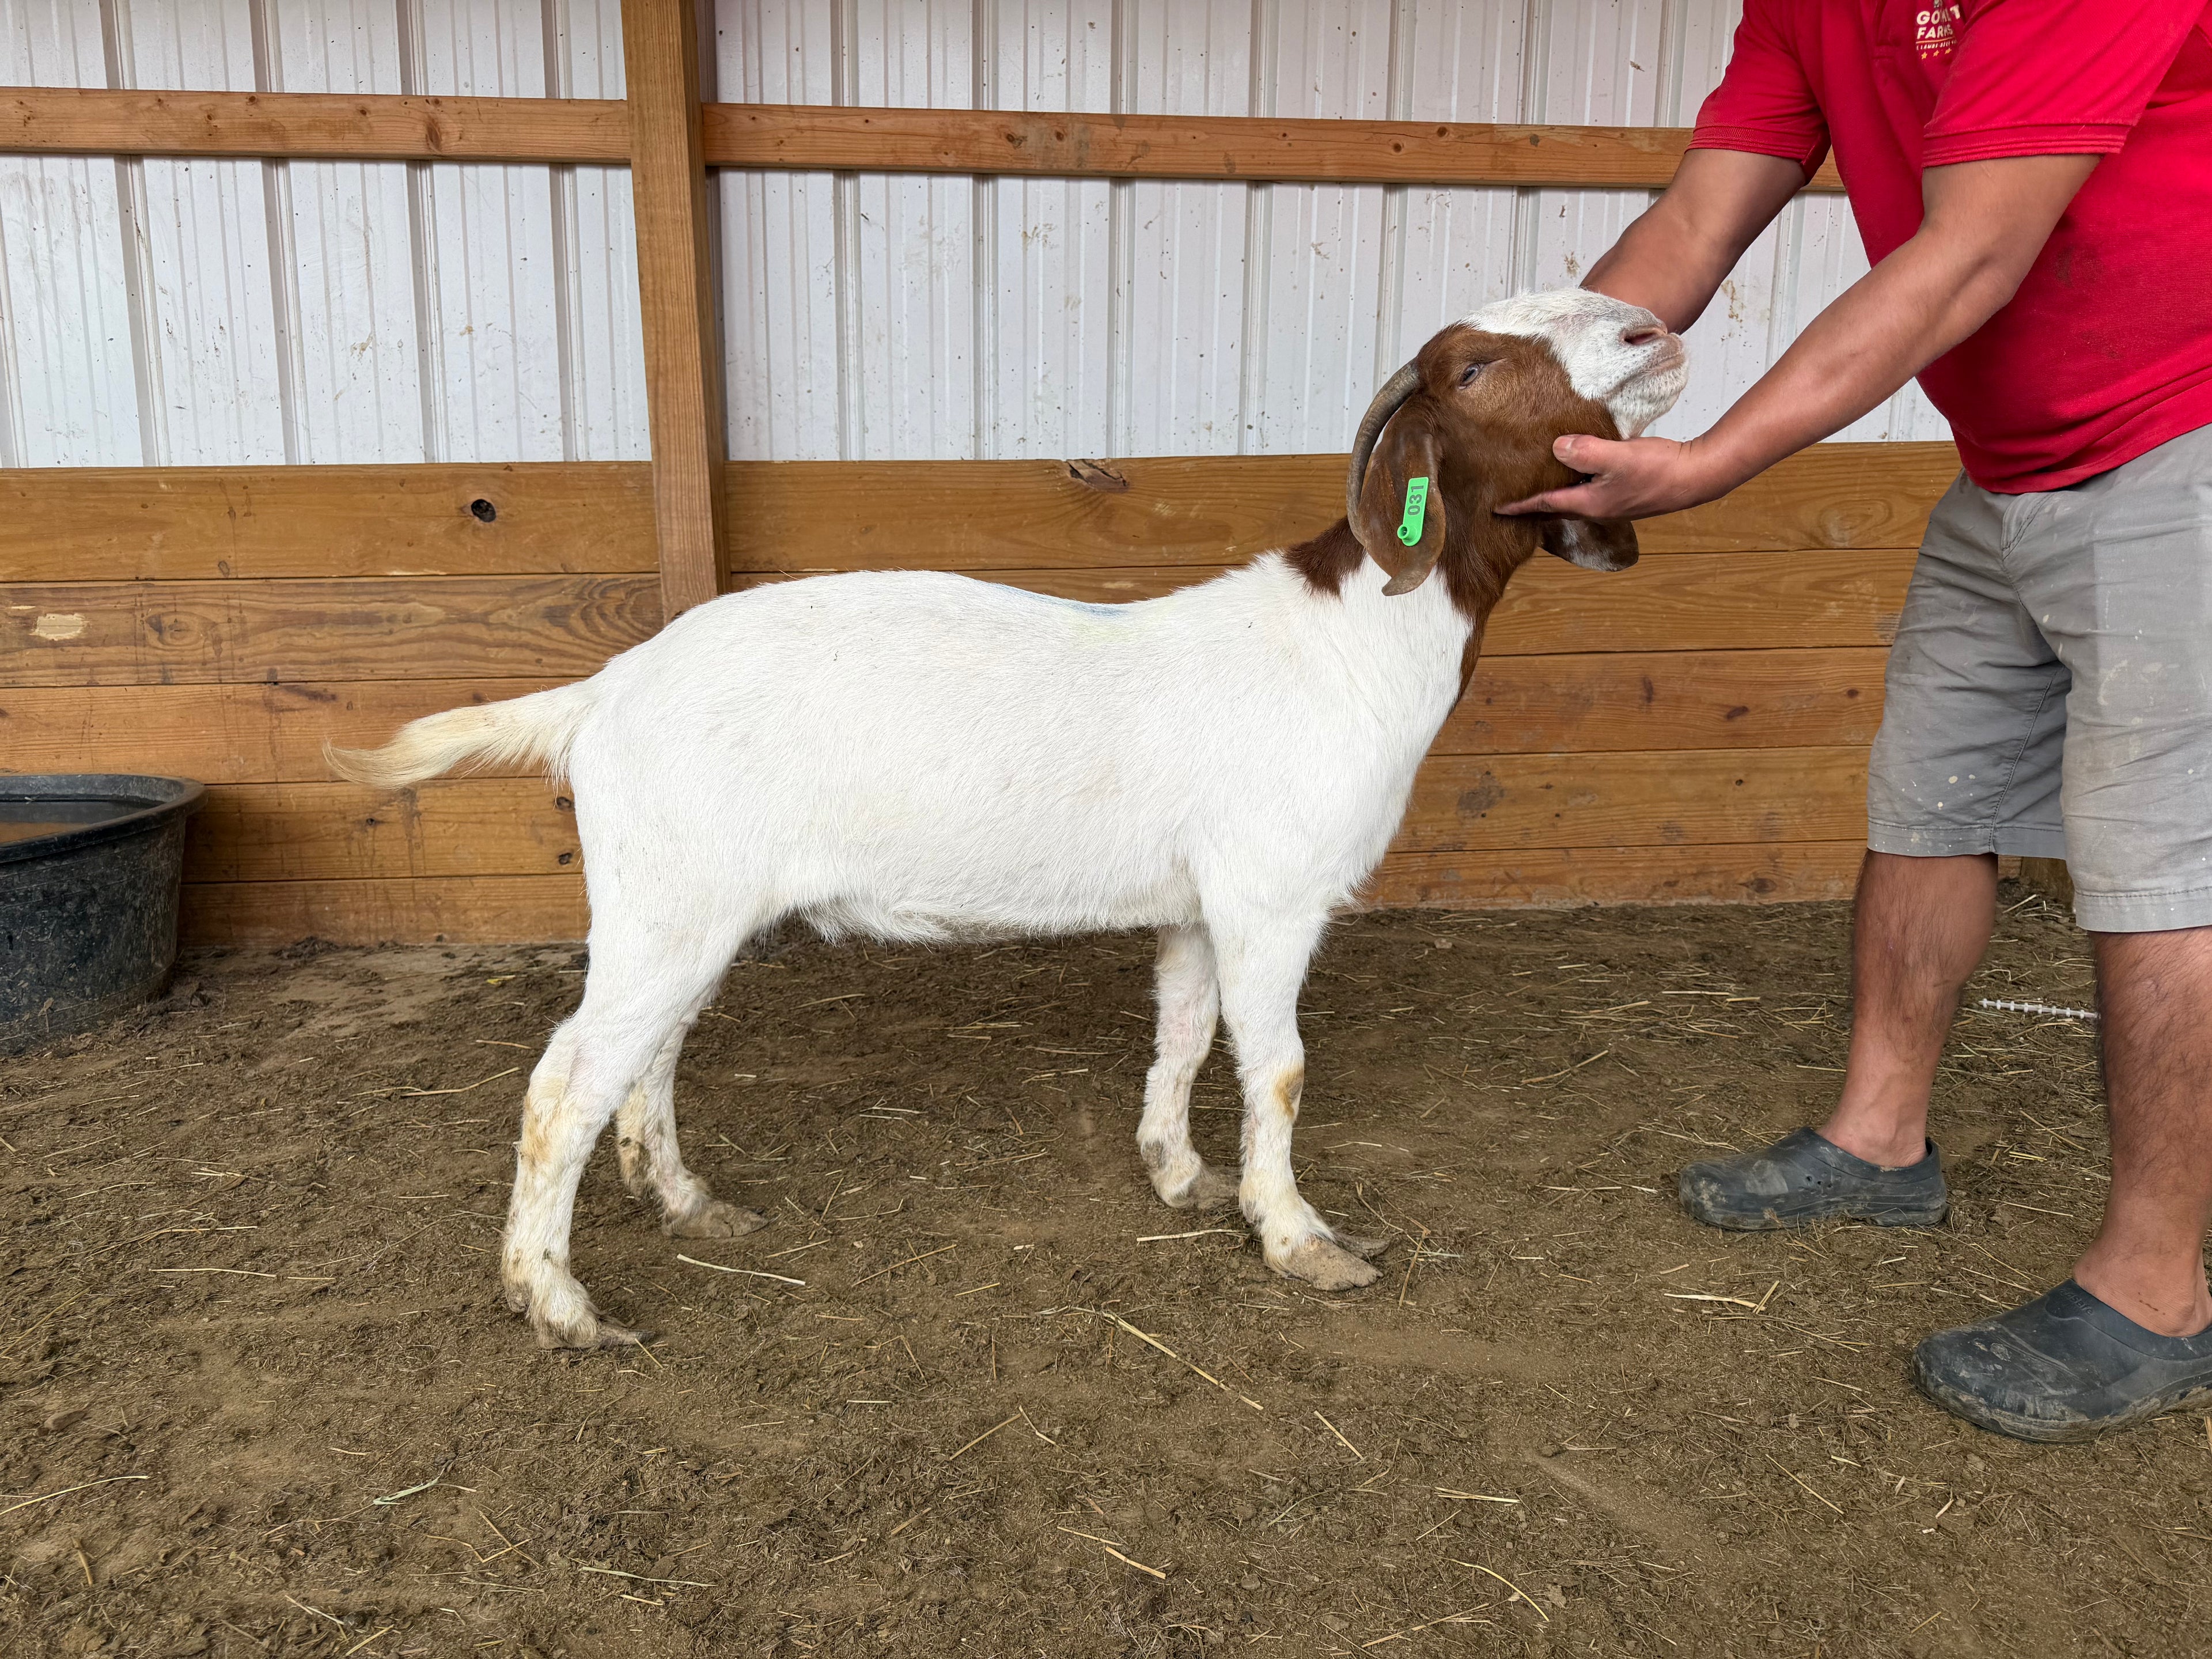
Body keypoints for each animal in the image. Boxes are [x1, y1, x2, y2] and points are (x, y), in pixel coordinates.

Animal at [329, 289, 1687, 1348]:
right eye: (1473, 368)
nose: (1654, 329)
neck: (1354, 639)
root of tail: (603, 692)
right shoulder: (1272, 893)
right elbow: (1283, 1069)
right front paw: (1301, 1239)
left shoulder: (1198, 906)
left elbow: (1186, 1035)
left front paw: (1181, 1177)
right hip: (669, 896)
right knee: (564, 1083)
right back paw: (559, 1307)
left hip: (684, 904)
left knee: (645, 1056)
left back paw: (689, 1204)